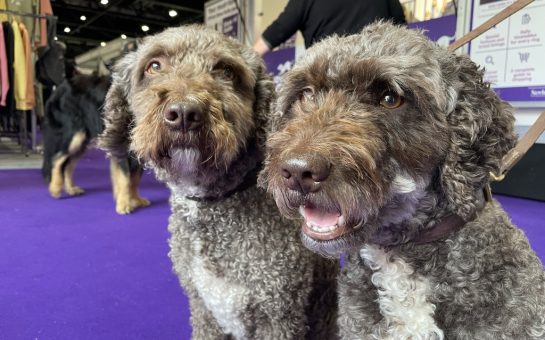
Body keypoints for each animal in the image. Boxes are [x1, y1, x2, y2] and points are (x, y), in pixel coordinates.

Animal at [41, 73, 149, 214]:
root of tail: (60, 87)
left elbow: (135, 178)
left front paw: (136, 199)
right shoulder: (120, 145)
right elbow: (125, 178)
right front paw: (123, 204)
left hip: (83, 141)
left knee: (68, 164)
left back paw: (71, 189)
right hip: (75, 135)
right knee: (57, 158)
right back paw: (55, 188)